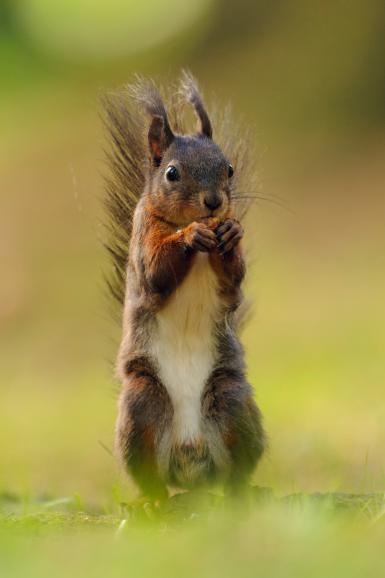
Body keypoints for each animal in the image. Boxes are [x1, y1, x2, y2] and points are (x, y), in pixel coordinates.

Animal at [101, 71, 264, 496]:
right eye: (172, 173)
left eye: (229, 168)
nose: (214, 202)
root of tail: (192, 462)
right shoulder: (144, 242)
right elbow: (157, 272)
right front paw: (190, 236)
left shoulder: (230, 281)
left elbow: (235, 278)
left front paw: (228, 234)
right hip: (142, 405)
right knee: (149, 475)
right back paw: (152, 501)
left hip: (230, 400)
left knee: (236, 469)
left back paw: (241, 492)